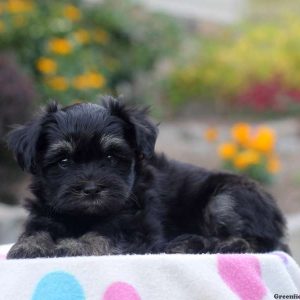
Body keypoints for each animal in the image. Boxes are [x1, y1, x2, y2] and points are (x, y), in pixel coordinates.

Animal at [5, 98, 290, 258]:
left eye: (111, 157)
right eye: (63, 162)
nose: (91, 189)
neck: (84, 215)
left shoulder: (136, 228)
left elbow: (103, 235)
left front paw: (73, 246)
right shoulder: (43, 215)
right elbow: (37, 231)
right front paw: (27, 246)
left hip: (226, 199)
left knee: (260, 243)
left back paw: (200, 244)